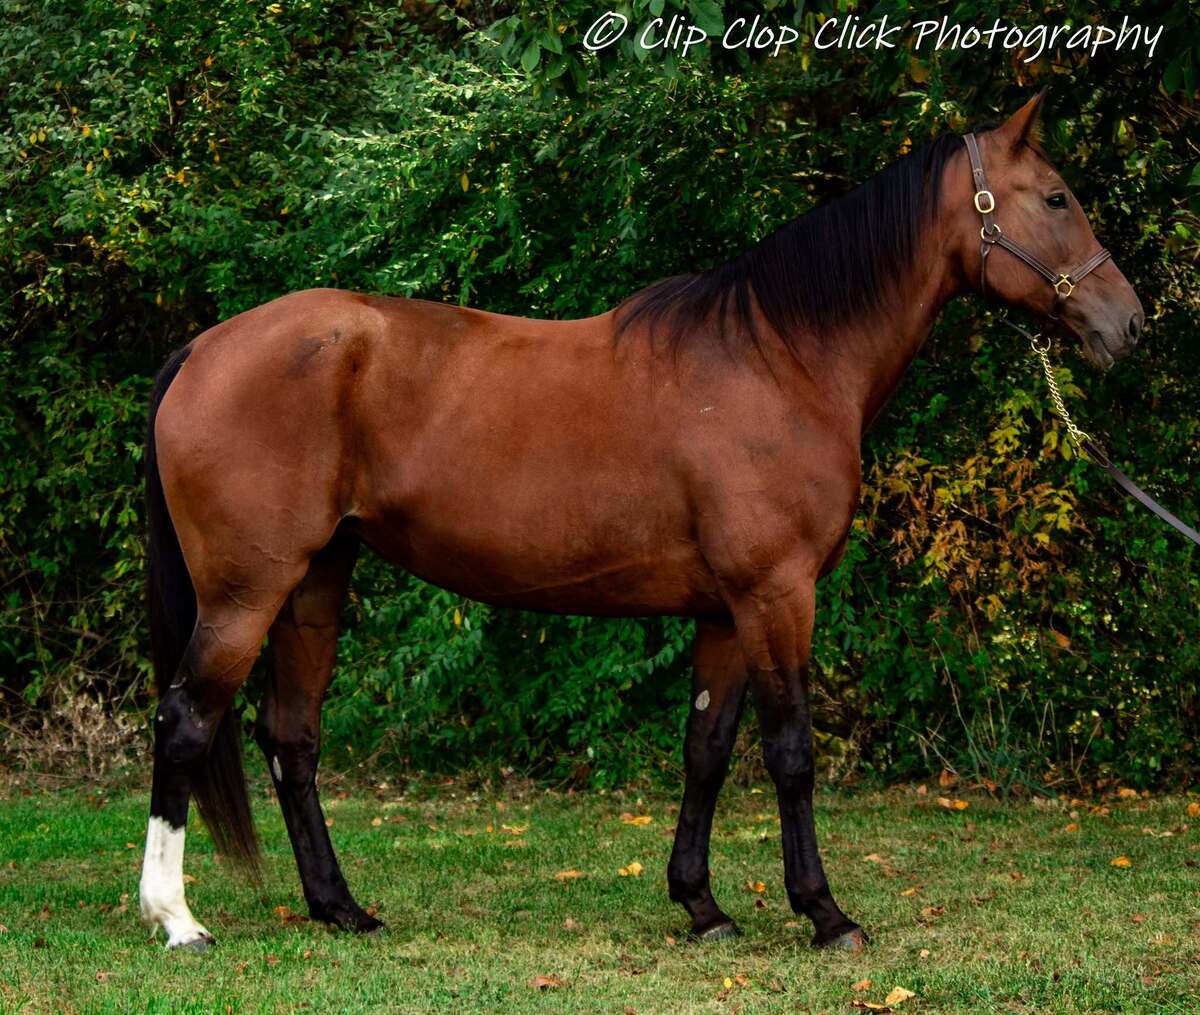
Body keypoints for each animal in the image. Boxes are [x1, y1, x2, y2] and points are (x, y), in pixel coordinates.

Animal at [138, 94, 1143, 952]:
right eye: (1056, 196)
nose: (1128, 323)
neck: (782, 359)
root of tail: (200, 348)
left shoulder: (725, 611)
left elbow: (706, 750)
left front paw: (702, 905)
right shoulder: (778, 595)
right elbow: (790, 752)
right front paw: (824, 912)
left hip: (315, 583)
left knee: (291, 738)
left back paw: (340, 907)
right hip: (246, 591)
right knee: (187, 718)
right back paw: (177, 917)